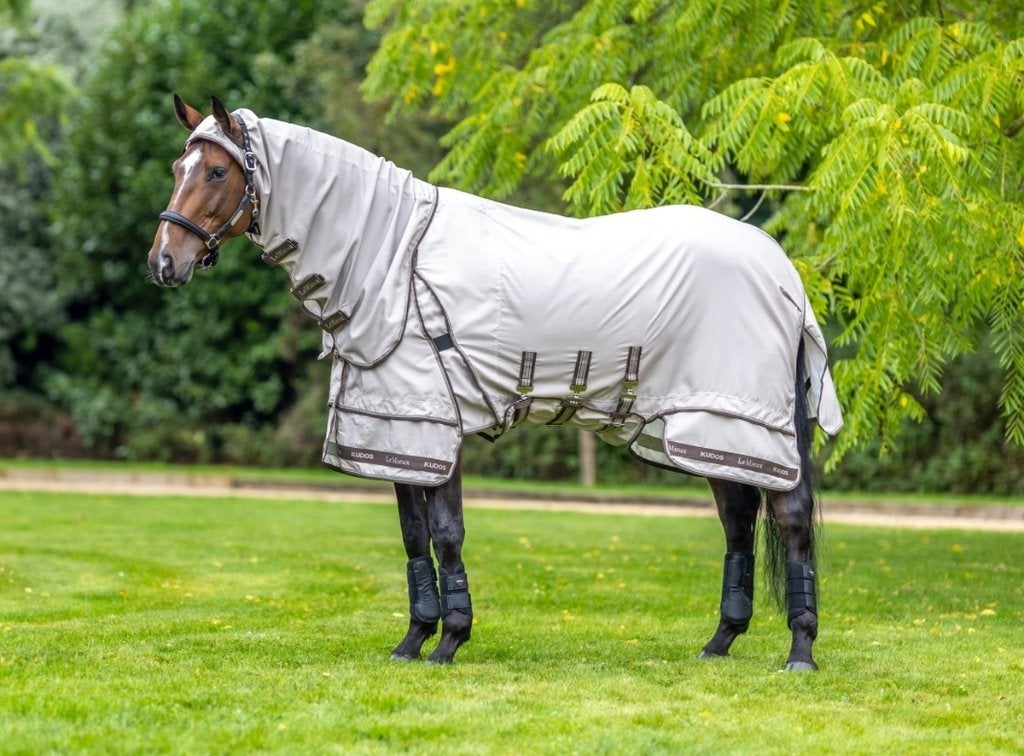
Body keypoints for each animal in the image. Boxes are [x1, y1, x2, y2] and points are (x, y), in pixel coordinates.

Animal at [148, 96, 842, 671]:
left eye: (216, 172)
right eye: (179, 167)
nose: (163, 263)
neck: (393, 259)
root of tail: (783, 270)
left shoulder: (436, 429)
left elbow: (447, 535)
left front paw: (449, 642)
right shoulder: (399, 433)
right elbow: (414, 538)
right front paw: (413, 641)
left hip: (745, 425)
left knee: (791, 521)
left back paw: (800, 652)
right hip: (707, 431)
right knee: (738, 522)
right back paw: (720, 643)